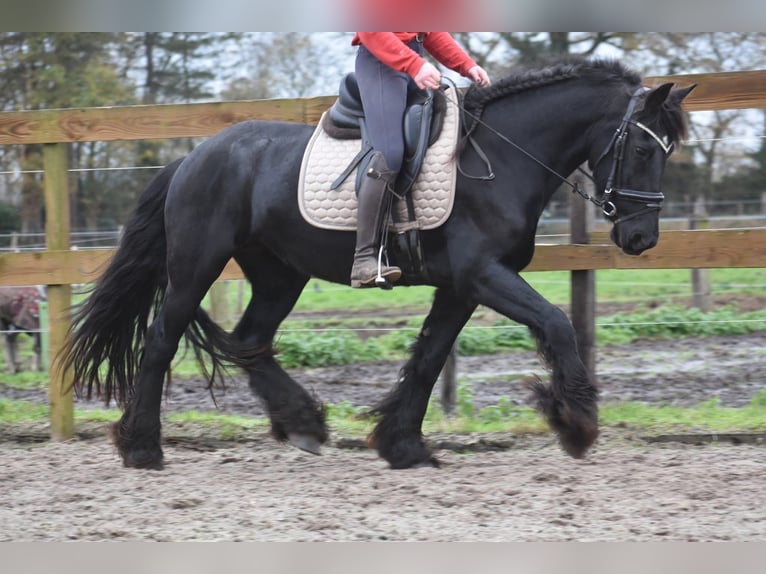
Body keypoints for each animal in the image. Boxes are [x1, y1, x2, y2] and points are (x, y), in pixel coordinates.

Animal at [60, 56, 693, 470]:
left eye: (668, 150)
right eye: (642, 147)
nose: (641, 237)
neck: (501, 158)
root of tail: (192, 158)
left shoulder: (461, 287)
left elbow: (429, 358)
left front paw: (403, 445)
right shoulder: (484, 275)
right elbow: (557, 323)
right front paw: (577, 424)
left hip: (279, 274)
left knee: (248, 340)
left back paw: (304, 424)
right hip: (197, 265)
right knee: (162, 339)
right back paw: (143, 448)